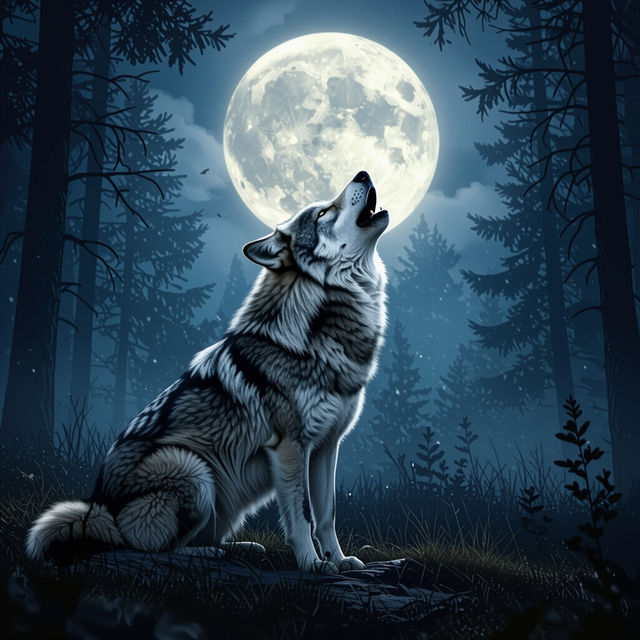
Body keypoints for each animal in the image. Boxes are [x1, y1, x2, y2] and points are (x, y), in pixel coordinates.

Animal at [26, 171, 388, 573]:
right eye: (324, 212)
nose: (362, 173)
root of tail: (100, 512)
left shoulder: (327, 446)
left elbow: (327, 514)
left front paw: (339, 560)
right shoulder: (290, 446)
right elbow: (301, 514)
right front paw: (311, 564)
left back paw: (243, 548)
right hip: (192, 469)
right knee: (151, 548)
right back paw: (215, 555)